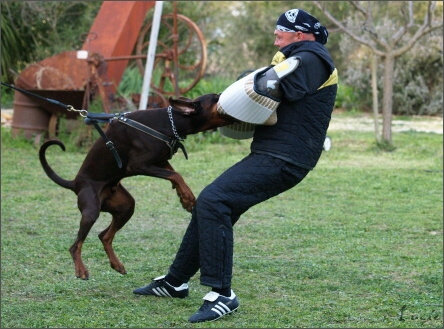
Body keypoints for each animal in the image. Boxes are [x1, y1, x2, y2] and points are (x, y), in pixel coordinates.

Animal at [40, 93, 236, 280]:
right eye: (216, 97)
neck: (168, 123)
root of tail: (75, 183)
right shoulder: (138, 165)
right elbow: (176, 175)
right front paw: (187, 198)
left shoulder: (161, 162)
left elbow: (174, 174)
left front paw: (182, 195)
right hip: (91, 209)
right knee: (75, 246)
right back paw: (81, 270)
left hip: (126, 206)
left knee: (104, 236)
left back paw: (117, 264)